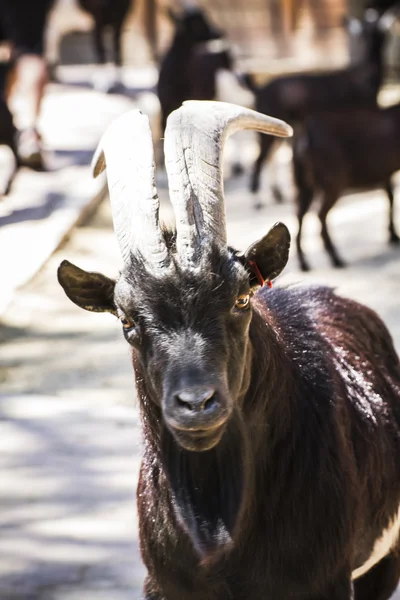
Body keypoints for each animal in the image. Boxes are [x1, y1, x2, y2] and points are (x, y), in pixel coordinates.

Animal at [245, 7, 396, 195]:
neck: (366, 76)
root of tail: (259, 89)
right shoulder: (364, 114)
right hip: (269, 129)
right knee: (259, 162)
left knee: (269, 157)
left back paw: (278, 192)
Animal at [290, 103, 400, 272]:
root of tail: (306, 136)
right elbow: (391, 198)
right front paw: (393, 235)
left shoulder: (385, 173)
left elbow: (390, 197)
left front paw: (393, 235)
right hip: (333, 182)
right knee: (320, 215)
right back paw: (336, 258)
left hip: (304, 185)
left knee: (300, 215)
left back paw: (304, 263)